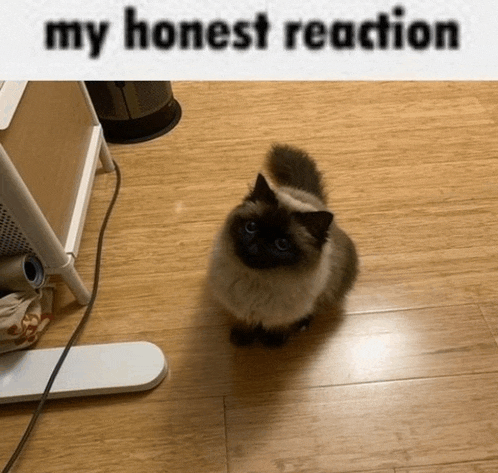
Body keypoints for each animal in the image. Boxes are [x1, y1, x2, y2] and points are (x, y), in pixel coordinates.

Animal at [206, 144, 358, 346]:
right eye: (251, 227)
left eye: (282, 244)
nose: (257, 244)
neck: (257, 283)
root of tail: (307, 195)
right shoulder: (239, 308)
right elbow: (244, 321)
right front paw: (242, 338)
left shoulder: (285, 315)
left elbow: (279, 326)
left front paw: (272, 342)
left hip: (330, 288)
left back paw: (302, 326)